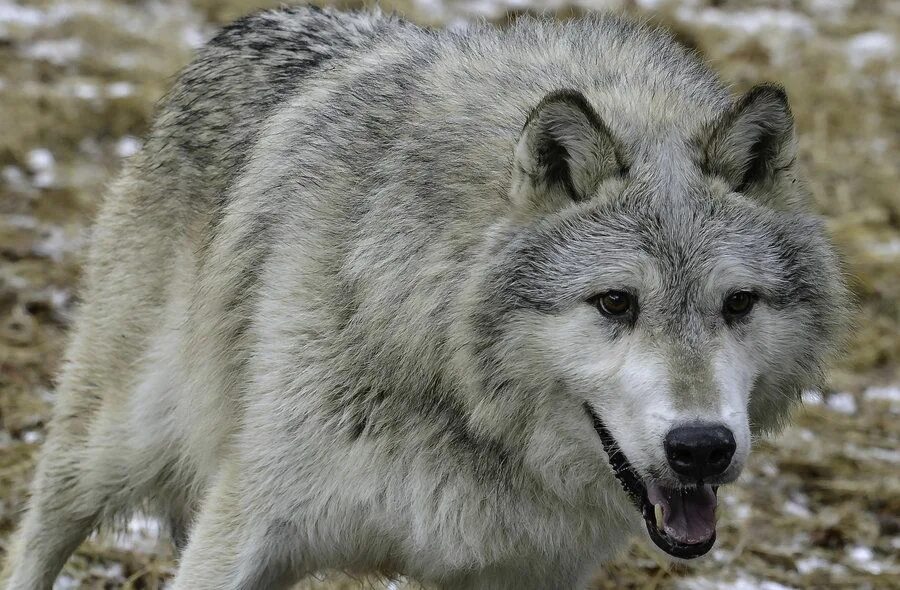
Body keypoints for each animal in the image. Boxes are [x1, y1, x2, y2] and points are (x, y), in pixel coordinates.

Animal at [3, 5, 848, 590]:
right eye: (614, 303)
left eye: (738, 304)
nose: (702, 447)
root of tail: (241, 26)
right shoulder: (244, 530)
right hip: (112, 443)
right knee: (39, 530)